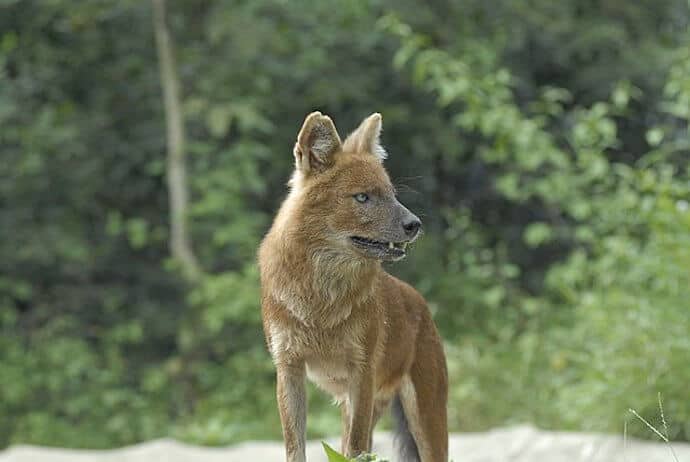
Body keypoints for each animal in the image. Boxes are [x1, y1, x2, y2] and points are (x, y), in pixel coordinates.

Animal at [258, 112, 446, 462]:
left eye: (392, 193)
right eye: (362, 197)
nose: (415, 224)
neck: (320, 298)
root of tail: (418, 301)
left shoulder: (362, 371)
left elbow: (357, 448)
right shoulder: (289, 368)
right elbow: (295, 445)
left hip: (426, 416)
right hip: (354, 404)